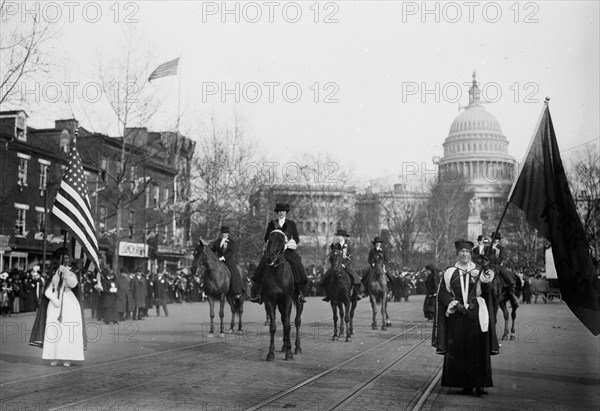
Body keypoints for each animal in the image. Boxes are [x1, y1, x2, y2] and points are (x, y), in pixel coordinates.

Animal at [262, 230, 302, 362]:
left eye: (281, 240)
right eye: (269, 239)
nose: (269, 258)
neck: (277, 273)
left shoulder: (288, 299)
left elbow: (288, 325)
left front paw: (289, 353)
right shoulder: (270, 301)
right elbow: (273, 327)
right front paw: (271, 353)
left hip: (298, 301)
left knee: (297, 321)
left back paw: (297, 347)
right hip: (280, 304)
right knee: (284, 319)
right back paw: (284, 346)